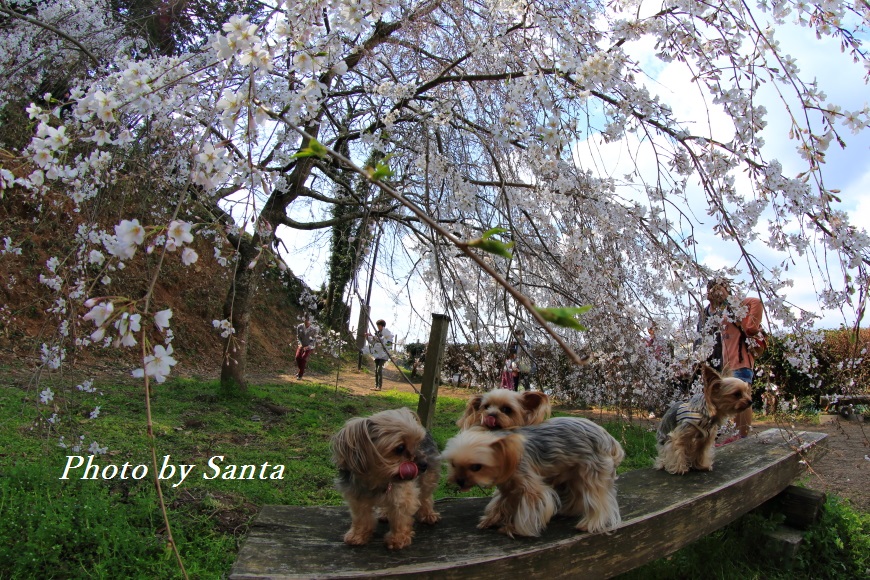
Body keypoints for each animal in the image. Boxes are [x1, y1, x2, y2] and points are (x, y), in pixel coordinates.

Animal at [334, 408, 442, 548]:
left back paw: (428, 514)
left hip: (428, 478)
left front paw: (398, 539)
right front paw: (358, 536)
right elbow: (361, 517)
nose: (424, 464)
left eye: (418, 443)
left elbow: (400, 516)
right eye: (400, 448)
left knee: (425, 495)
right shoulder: (357, 497)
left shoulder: (403, 493)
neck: (378, 477)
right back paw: (385, 513)